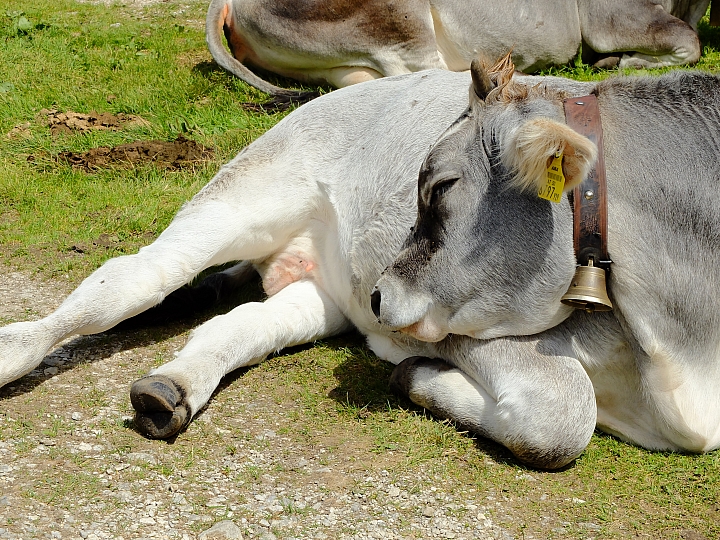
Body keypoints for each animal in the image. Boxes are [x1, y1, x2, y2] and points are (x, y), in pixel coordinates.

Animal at [1, 59, 720, 468]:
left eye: (443, 186)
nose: (381, 296)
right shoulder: (472, 331)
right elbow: (565, 415)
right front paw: (417, 378)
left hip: (326, 292)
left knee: (238, 325)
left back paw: (170, 390)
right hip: (248, 192)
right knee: (129, 279)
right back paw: (18, 352)